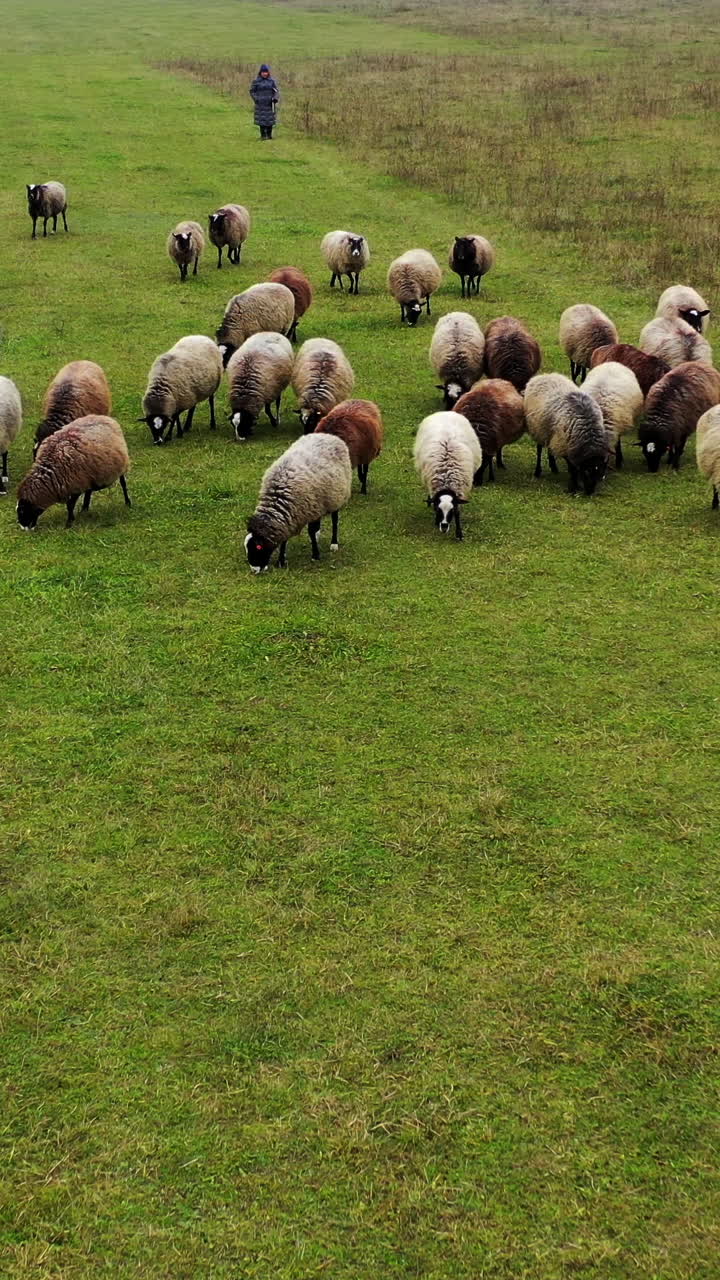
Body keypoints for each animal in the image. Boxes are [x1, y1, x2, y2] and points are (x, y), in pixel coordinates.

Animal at [245, 433, 352, 571]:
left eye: (258, 547)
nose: (254, 570)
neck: (280, 493)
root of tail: (327, 435)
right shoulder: (293, 517)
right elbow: (285, 540)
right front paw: (281, 561)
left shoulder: (309, 510)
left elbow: (311, 531)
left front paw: (315, 555)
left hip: (336, 497)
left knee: (335, 520)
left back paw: (334, 544)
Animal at [413, 411, 481, 540]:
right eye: (438, 510)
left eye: (451, 511)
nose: (444, 526)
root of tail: (445, 412)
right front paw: (436, 521)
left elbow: (458, 512)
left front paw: (459, 534)